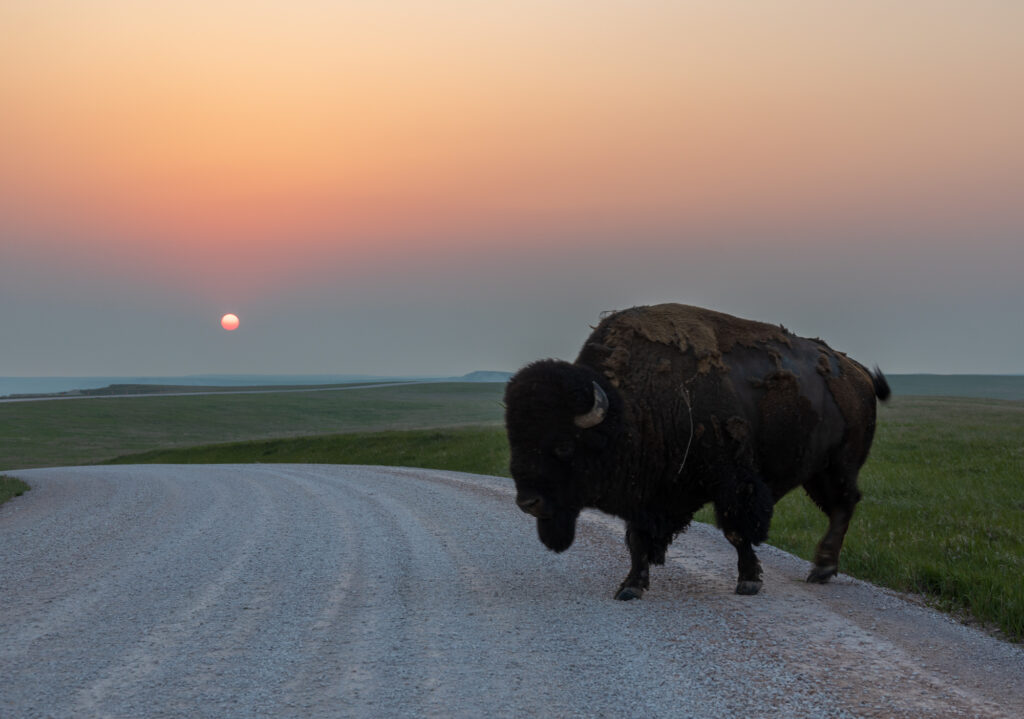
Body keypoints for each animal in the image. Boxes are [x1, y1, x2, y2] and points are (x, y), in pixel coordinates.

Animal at [503, 303, 888, 598]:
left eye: (563, 445)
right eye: (515, 440)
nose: (528, 502)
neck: (629, 410)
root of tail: (855, 372)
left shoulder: (731, 481)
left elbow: (736, 530)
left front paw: (748, 581)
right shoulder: (647, 492)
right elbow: (637, 538)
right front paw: (630, 586)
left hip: (839, 464)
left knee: (843, 505)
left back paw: (821, 568)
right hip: (817, 472)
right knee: (840, 505)